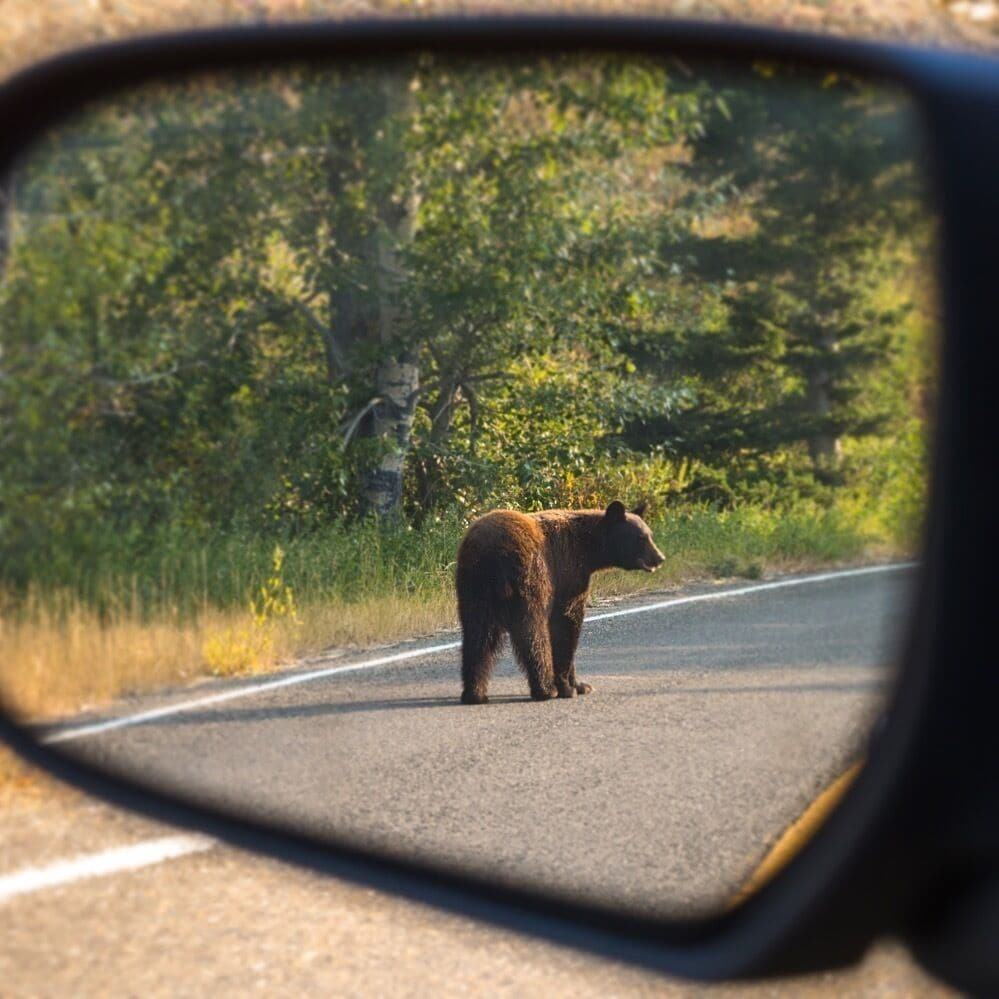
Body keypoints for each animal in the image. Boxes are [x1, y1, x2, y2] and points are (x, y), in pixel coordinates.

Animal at [456, 501, 665, 704]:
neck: (588, 549)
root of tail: (493, 552)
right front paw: (569, 687)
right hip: (529, 580)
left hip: (474, 589)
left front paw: (581, 685)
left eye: (650, 535)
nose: (660, 557)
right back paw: (546, 689)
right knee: (532, 631)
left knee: (478, 636)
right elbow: (567, 625)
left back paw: (475, 694)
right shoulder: (568, 574)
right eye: (641, 537)